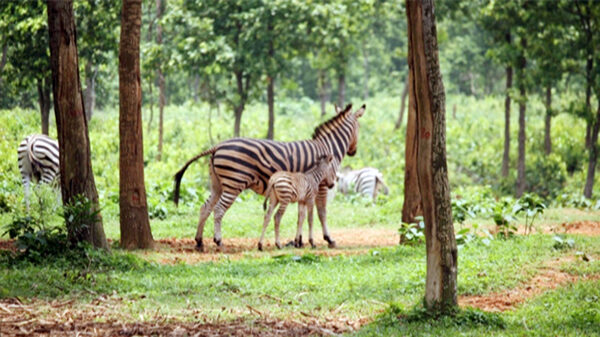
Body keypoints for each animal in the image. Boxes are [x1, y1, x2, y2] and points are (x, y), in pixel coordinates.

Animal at [171, 103, 364, 251]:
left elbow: (300, 216)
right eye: (359, 128)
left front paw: (299, 241)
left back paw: (199, 242)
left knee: (205, 208)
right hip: (234, 183)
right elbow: (321, 213)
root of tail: (218, 146)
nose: (354, 152)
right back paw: (218, 241)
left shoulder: (304, 189)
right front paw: (328, 239)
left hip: (217, 184)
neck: (327, 147)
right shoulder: (321, 185)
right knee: (218, 210)